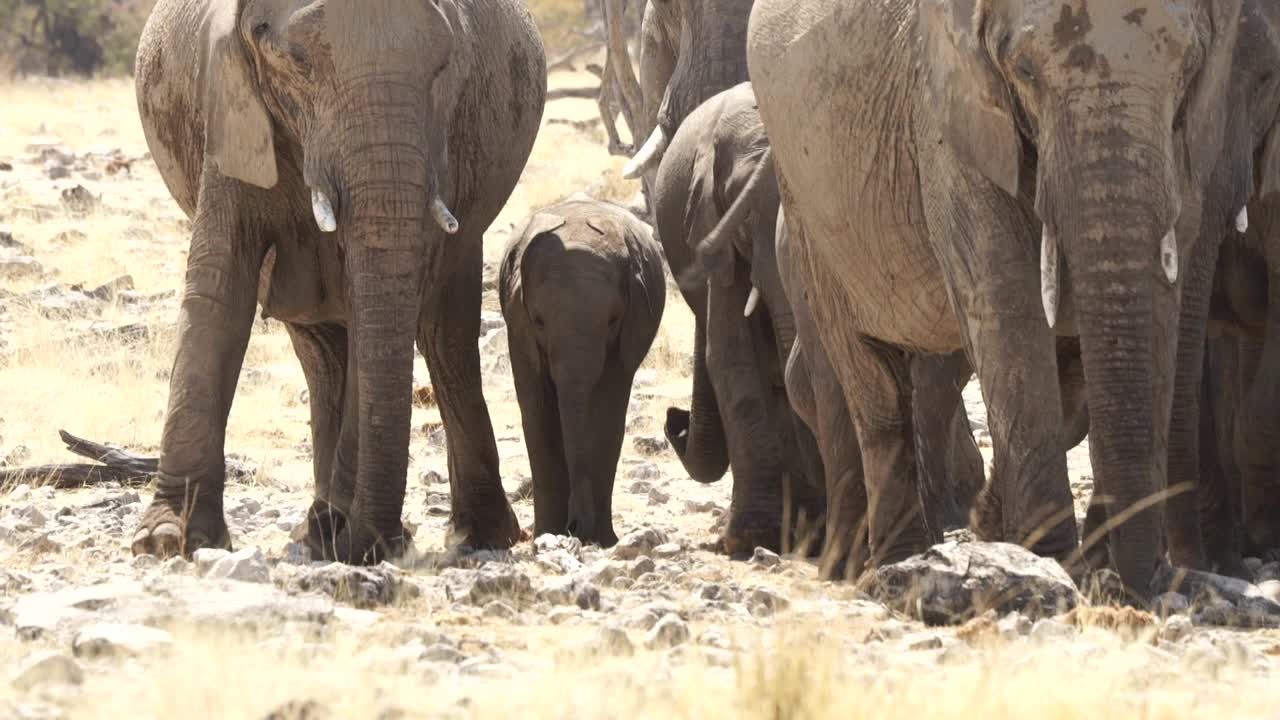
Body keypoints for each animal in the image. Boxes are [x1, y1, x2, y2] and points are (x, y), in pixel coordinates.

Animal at [129, 0, 545, 561]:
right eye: (295, 61)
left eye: (444, 66)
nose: (370, 543)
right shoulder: (232, 107)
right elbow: (218, 287)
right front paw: (167, 539)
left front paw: (346, 535)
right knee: (322, 351)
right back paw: (325, 524)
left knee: (444, 340)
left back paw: (463, 536)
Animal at [496, 196, 665, 543]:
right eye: (539, 321)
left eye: (613, 320)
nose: (575, 527)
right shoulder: (519, 329)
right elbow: (536, 409)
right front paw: (547, 535)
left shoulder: (628, 333)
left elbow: (608, 408)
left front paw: (601, 540)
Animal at [742, 0, 1249, 597]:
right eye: (1024, 73)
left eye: (1186, 69)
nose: (1137, 583)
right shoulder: (948, 111)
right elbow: (1006, 303)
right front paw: (1048, 567)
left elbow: (1162, 304)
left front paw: (1073, 563)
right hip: (804, 202)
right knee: (869, 378)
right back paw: (882, 566)